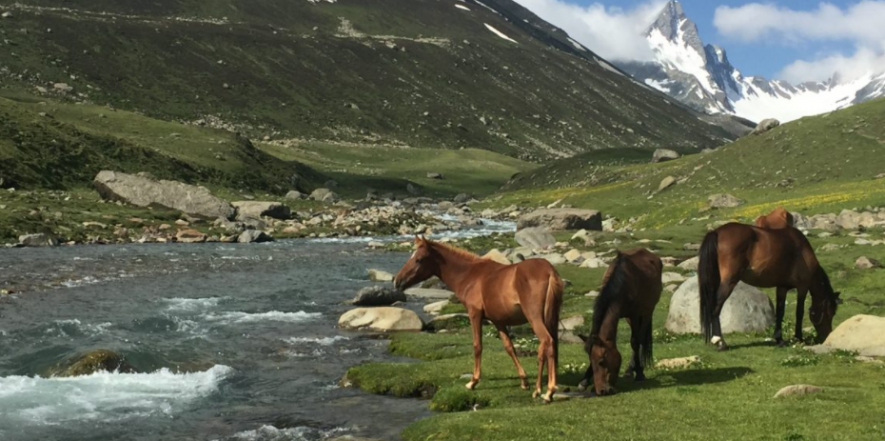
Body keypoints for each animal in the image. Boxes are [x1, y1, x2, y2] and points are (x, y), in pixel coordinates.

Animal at [396, 237, 564, 402]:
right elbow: (509, 347)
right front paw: (523, 381)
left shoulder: (474, 314)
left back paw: (546, 391)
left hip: (534, 317)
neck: (470, 276)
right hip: (550, 318)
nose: (397, 281)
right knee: (551, 345)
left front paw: (473, 381)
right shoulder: (498, 321)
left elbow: (477, 346)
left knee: (547, 342)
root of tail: (549, 271)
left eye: (419, 259)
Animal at [576, 248, 660, 396]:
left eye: (602, 361)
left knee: (641, 339)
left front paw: (639, 373)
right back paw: (630, 370)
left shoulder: (635, 314)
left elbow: (635, 342)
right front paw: (584, 381)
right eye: (590, 360)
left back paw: (636, 369)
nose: (602, 390)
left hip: (647, 312)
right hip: (630, 318)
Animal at [700, 223, 840, 350]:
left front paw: (779, 339)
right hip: (728, 282)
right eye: (830, 313)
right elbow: (799, 312)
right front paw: (798, 337)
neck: (803, 251)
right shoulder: (802, 287)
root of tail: (716, 232)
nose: (827, 336)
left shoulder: (782, 287)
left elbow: (780, 312)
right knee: (716, 306)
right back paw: (719, 342)